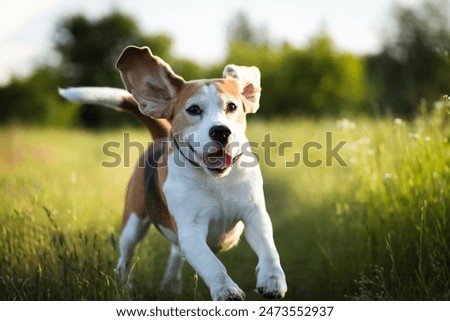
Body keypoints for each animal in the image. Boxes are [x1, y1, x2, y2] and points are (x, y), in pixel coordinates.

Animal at [59, 45, 286, 300]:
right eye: (193, 109)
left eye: (232, 107)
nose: (221, 132)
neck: (217, 181)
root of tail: (160, 137)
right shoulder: (191, 230)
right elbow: (213, 264)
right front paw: (226, 290)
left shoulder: (255, 215)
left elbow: (268, 249)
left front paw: (272, 279)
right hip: (133, 224)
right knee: (124, 260)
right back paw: (125, 289)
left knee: (175, 254)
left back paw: (170, 284)